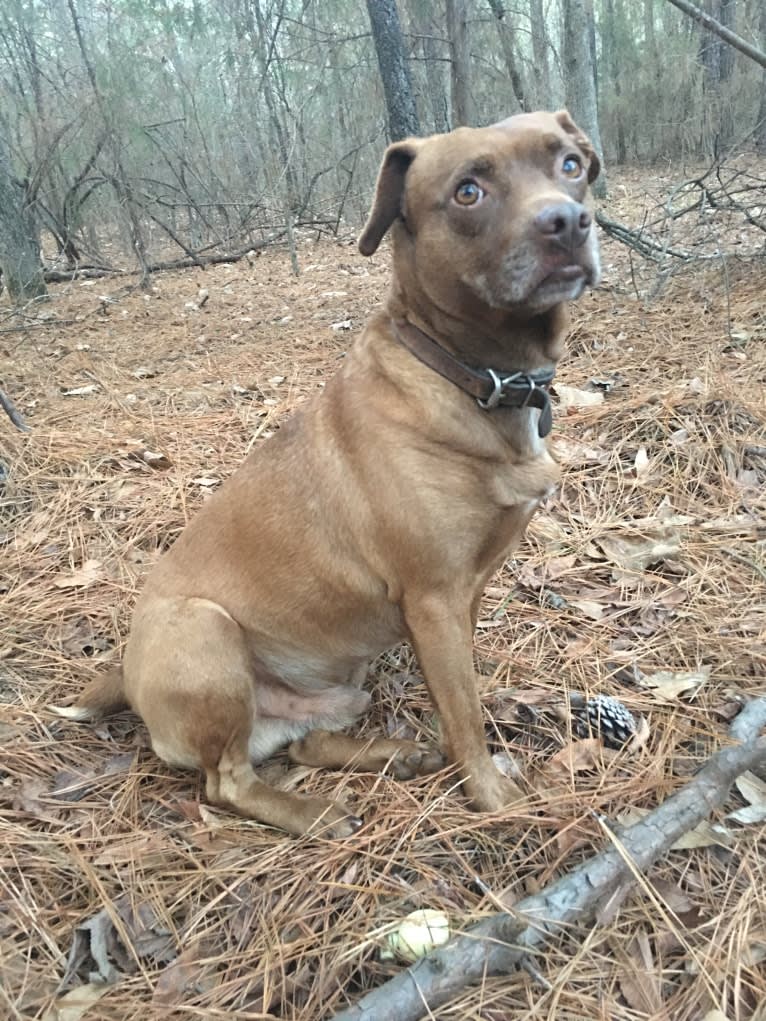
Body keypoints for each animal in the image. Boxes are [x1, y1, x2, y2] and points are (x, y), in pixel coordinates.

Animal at [56, 111, 604, 837]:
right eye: (468, 192)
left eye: (569, 164)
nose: (567, 222)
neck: (466, 375)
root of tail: (126, 672)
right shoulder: (433, 600)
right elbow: (464, 717)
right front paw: (492, 797)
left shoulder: (465, 594)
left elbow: (460, 696)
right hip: (206, 633)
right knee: (227, 783)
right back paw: (312, 814)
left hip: (341, 686)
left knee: (305, 742)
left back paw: (390, 753)